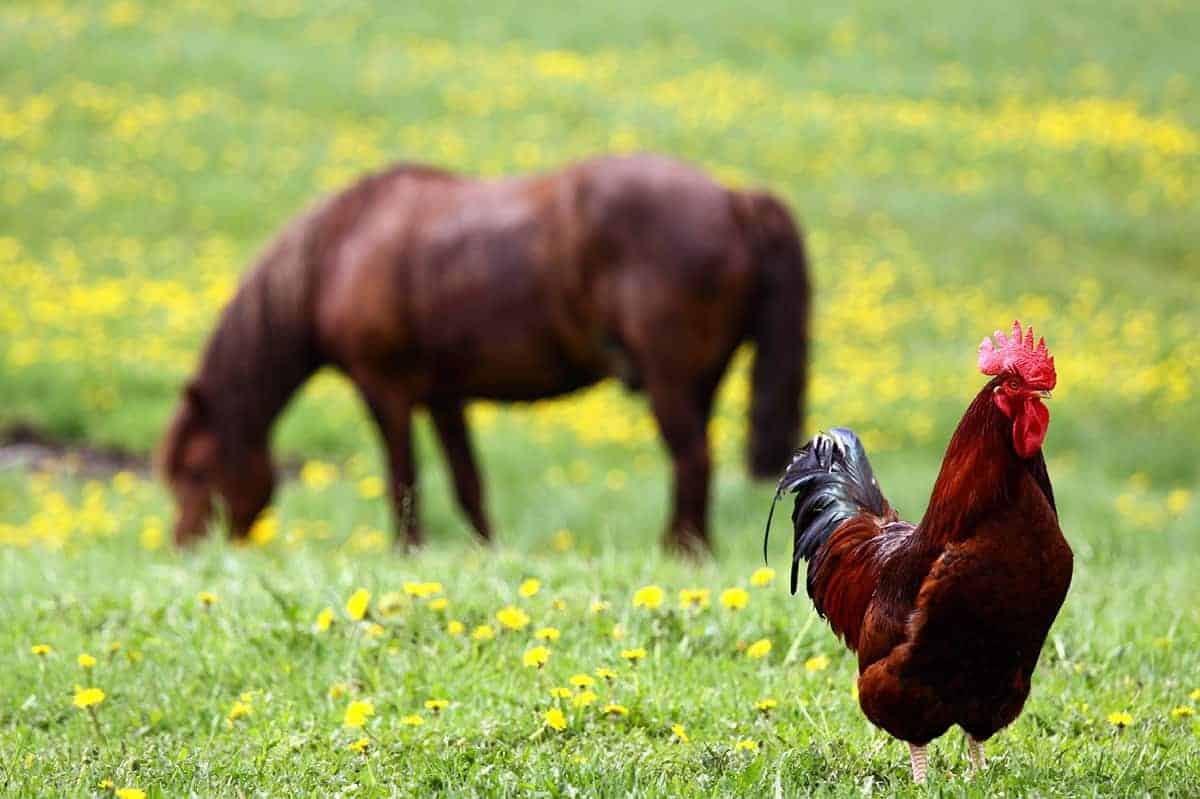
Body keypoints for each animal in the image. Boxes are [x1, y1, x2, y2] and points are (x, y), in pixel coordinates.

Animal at [159, 155, 811, 554]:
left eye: (197, 471)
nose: (189, 549)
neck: (337, 254)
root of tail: (735, 199)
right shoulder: (443, 395)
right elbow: (466, 482)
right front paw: (483, 551)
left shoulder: (384, 390)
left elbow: (404, 480)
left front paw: (408, 553)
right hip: (701, 381)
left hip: (670, 381)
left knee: (692, 462)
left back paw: (679, 556)